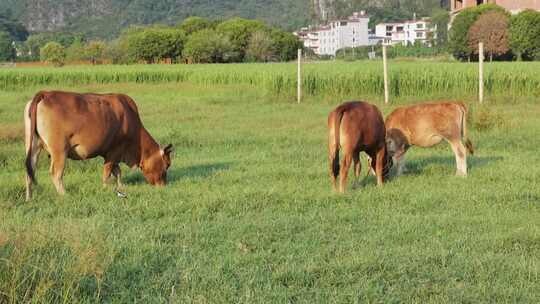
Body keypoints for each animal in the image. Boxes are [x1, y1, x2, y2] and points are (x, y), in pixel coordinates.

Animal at [24, 90, 173, 201]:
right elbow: (108, 172)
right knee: (56, 173)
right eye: (166, 165)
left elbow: (117, 171)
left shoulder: (114, 154)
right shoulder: (114, 151)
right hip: (59, 151)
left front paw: (121, 186)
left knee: (30, 170)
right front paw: (105, 188)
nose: (163, 186)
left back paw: (29, 197)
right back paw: (64, 195)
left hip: (33, 147)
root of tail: (46, 93)